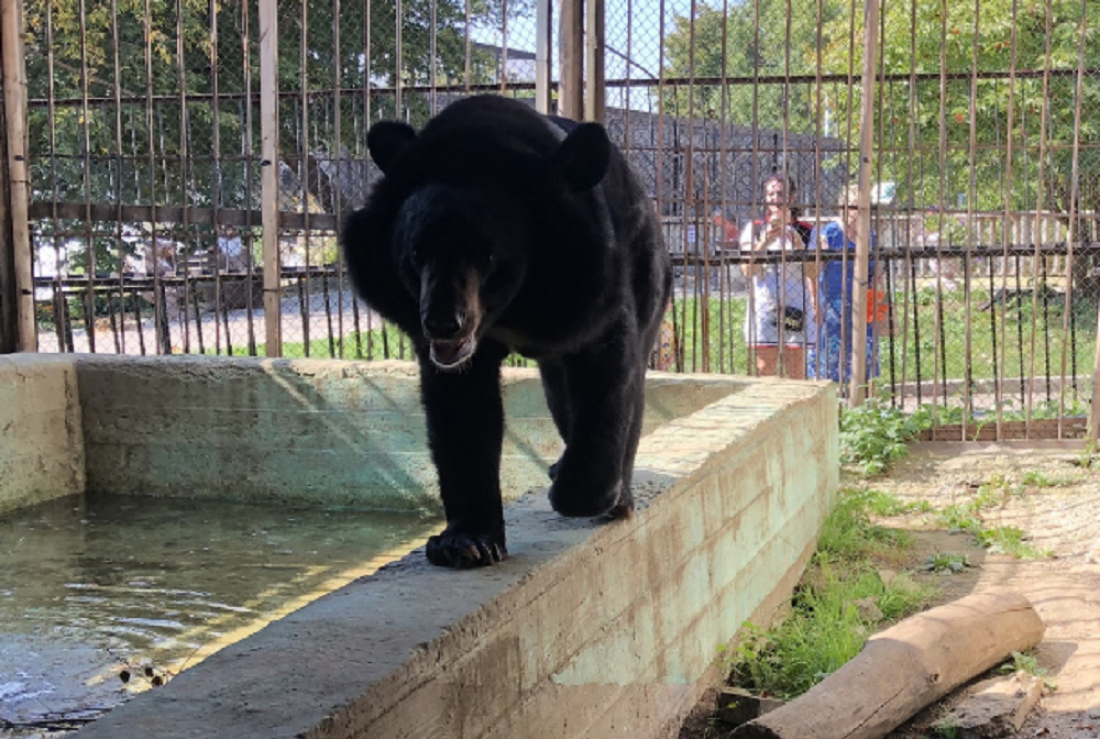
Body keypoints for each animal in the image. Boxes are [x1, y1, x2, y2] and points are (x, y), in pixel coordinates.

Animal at [341, 95, 668, 567]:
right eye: (416, 253)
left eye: (488, 255)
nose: (442, 322)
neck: (511, 309)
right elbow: (463, 413)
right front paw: (465, 543)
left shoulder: (591, 283)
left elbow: (607, 378)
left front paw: (581, 494)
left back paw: (611, 494)